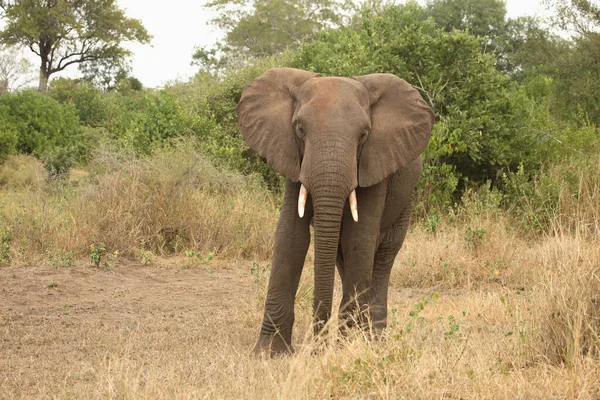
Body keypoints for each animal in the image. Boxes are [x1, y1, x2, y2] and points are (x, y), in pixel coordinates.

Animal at [237, 66, 434, 356]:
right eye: (300, 129)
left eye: (364, 134)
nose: (316, 348)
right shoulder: (294, 160)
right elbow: (290, 236)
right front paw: (269, 352)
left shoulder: (374, 163)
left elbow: (359, 239)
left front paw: (346, 348)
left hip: (405, 200)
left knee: (383, 256)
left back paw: (374, 339)